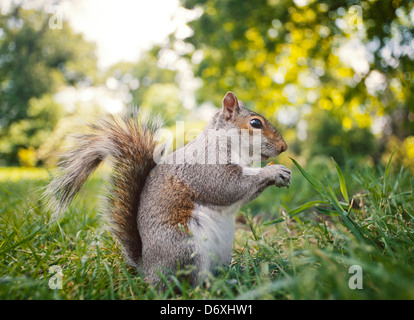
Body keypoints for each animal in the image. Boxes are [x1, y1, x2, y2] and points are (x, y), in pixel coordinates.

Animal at [43, 91, 292, 286]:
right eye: (255, 123)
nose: (284, 147)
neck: (224, 142)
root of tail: (147, 269)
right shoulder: (206, 168)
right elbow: (227, 187)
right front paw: (274, 172)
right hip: (186, 249)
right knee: (186, 284)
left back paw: (229, 280)